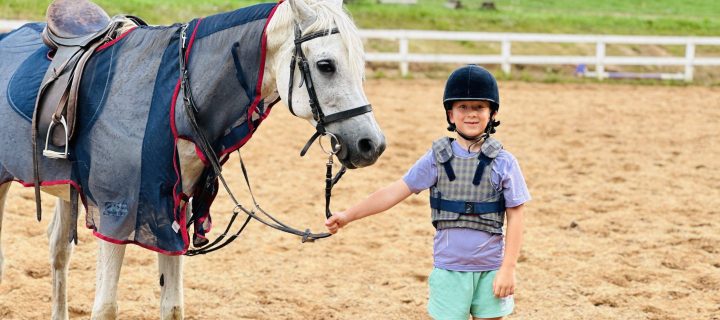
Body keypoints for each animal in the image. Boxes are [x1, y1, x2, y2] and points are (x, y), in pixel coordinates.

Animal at [0, 0, 386, 318]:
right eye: (326, 65)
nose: (372, 144)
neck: (175, 98)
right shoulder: (116, 214)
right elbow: (106, 307)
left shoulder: (172, 211)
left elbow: (172, 306)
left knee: (58, 252)